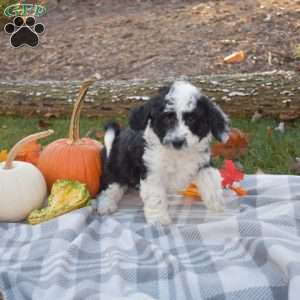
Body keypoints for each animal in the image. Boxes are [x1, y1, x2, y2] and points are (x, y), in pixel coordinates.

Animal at [96, 81, 230, 224]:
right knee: (110, 188)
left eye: (191, 120)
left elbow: (211, 181)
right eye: (167, 119)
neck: (178, 154)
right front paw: (159, 219)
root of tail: (118, 137)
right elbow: (156, 197)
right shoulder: (152, 172)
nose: (178, 141)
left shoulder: (203, 164)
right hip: (117, 169)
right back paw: (106, 205)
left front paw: (218, 205)